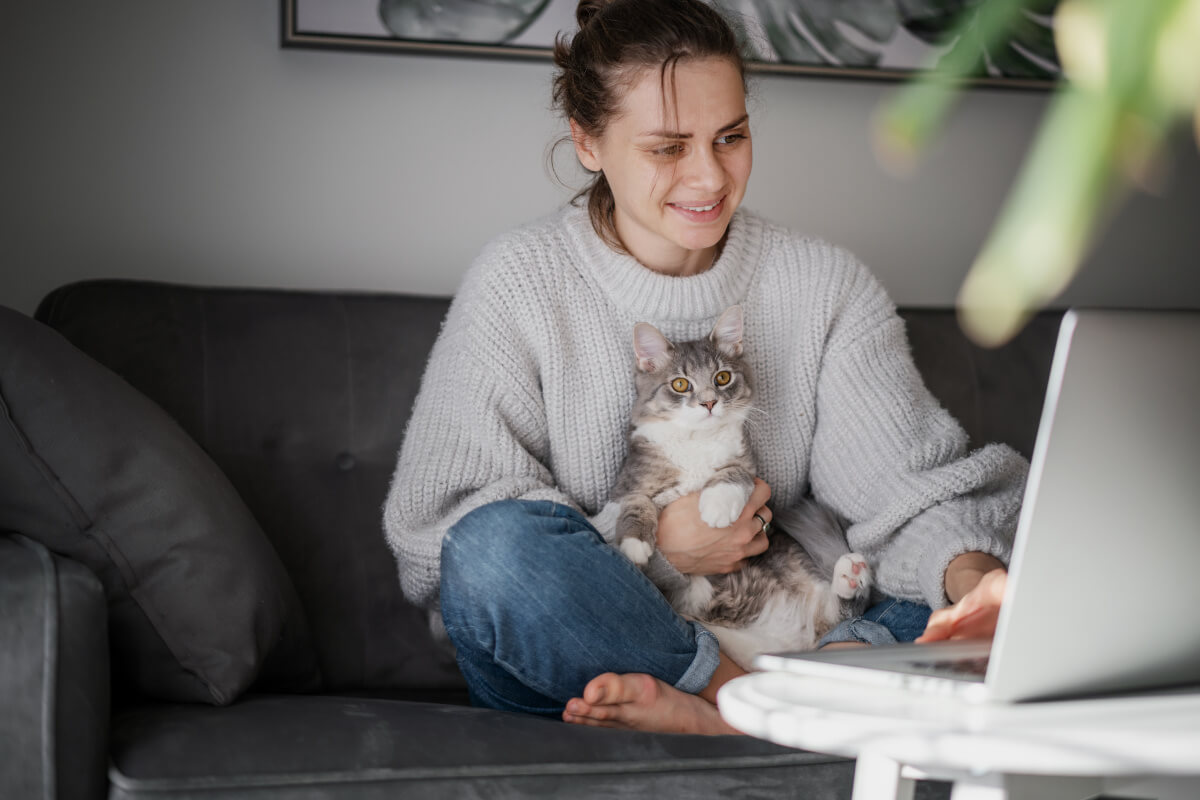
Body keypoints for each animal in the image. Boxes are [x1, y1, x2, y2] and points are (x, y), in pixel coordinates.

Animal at [609, 307, 873, 671]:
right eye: (681, 384)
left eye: (722, 378)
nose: (708, 403)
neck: (697, 442)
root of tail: (792, 641)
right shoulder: (627, 486)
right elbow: (636, 503)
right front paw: (635, 544)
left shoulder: (749, 466)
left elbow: (733, 475)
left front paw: (717, 506)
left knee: (845, 616)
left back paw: (852, 576)